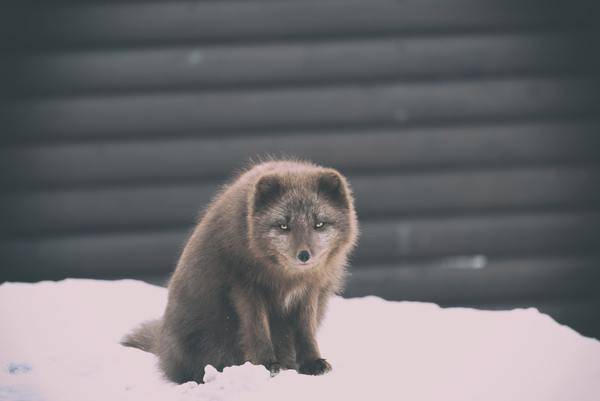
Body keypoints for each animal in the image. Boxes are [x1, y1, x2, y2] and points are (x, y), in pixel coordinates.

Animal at [120, 159, 356, 382]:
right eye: (283, 226)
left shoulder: (310, 291)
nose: (304, 255)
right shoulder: (246, 287)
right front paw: (267, 365)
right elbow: (258, 330)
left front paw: (311, 363)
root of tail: (161, 344)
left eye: (319, 224)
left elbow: (306, 331)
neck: (286, 279)